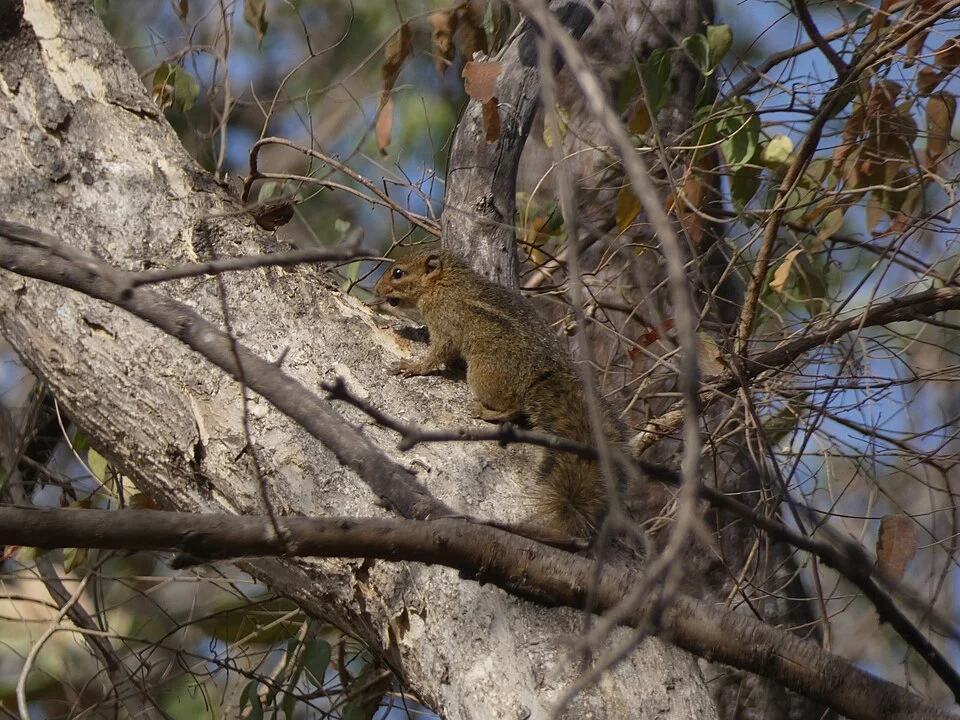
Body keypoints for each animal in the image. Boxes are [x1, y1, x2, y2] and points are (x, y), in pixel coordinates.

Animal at [374, 248, 624, 538]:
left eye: (398, 273)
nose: (377, 290)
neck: (443, 285)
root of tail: (542, 374)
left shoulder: (446, 321)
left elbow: (437, 352)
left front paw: (412, 367)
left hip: (484, 374)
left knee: (514, 407)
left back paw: (485, 412)